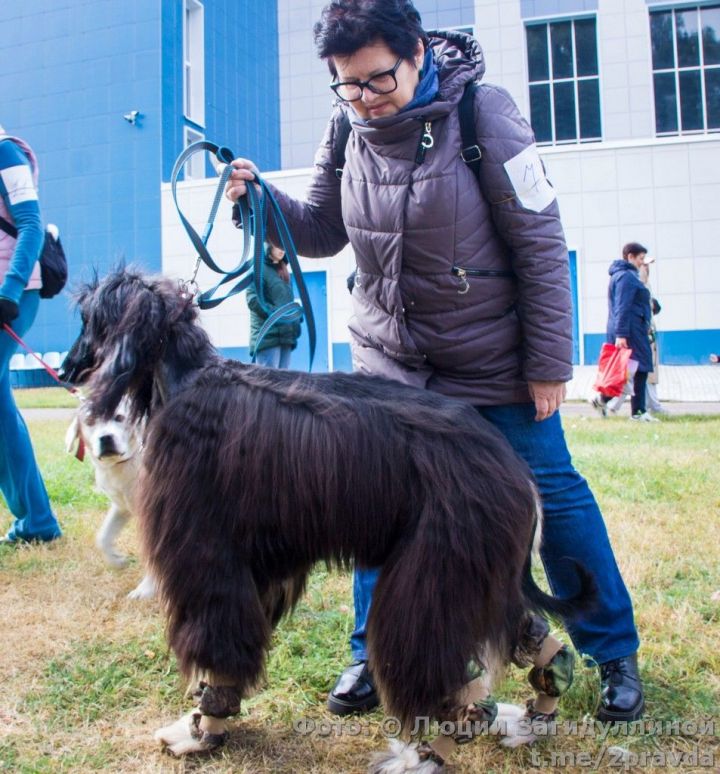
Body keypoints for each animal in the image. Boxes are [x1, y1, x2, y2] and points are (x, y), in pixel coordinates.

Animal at [60, 270, 592, 772]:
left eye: (89, 318)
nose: (67, 368)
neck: (186, 378)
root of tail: (516, 470)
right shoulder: (259, 564)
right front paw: (208, 719)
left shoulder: (207, 554)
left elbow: (218, 646)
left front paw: (202, 730)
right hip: (474, 572)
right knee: (526, 633)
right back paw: (537, 708)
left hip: (434, 575)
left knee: (446, 680)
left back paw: (422, 756)